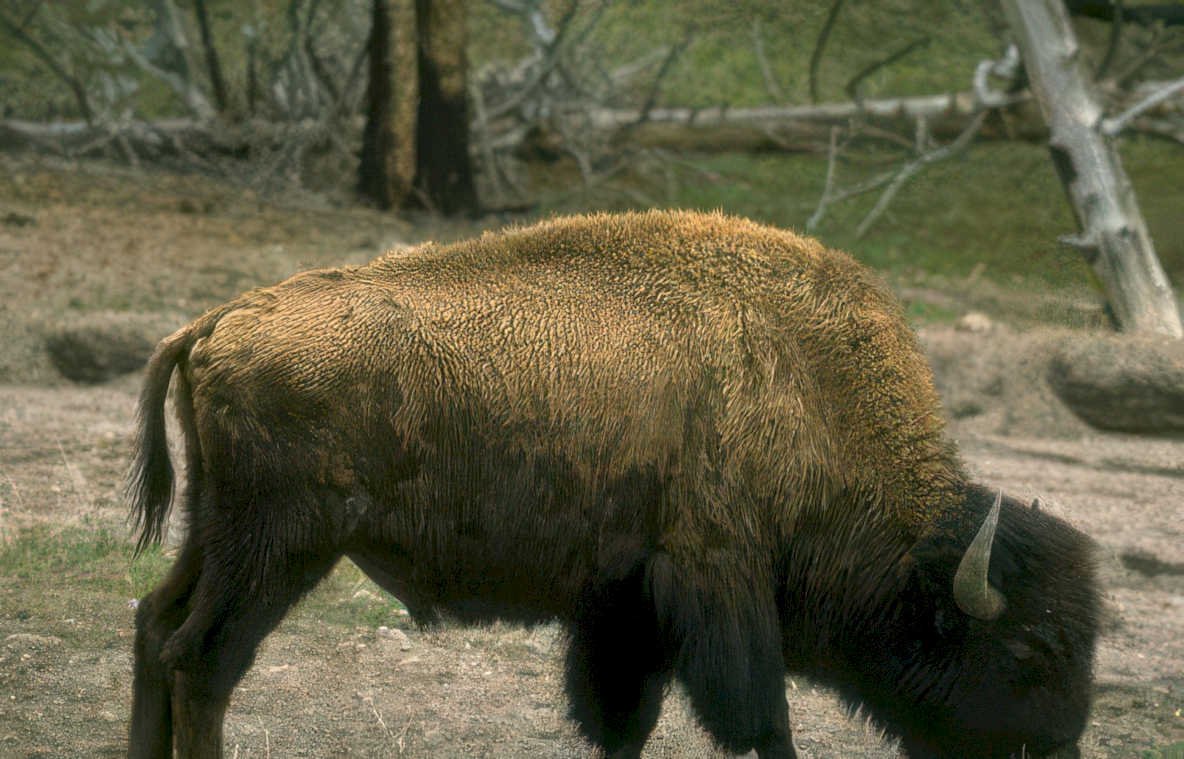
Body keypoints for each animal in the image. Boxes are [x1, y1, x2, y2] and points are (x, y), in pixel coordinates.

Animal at [128, 210, 1099, 758]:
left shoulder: (624, 605)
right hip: (278, 549)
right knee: (201, 663)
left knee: (152, 625)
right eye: (1027, 651)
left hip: (215, 532)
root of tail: (219, 319)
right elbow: (762, 724)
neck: (809, 386)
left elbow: (622, 722)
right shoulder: (719, 586)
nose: (1059, 744)